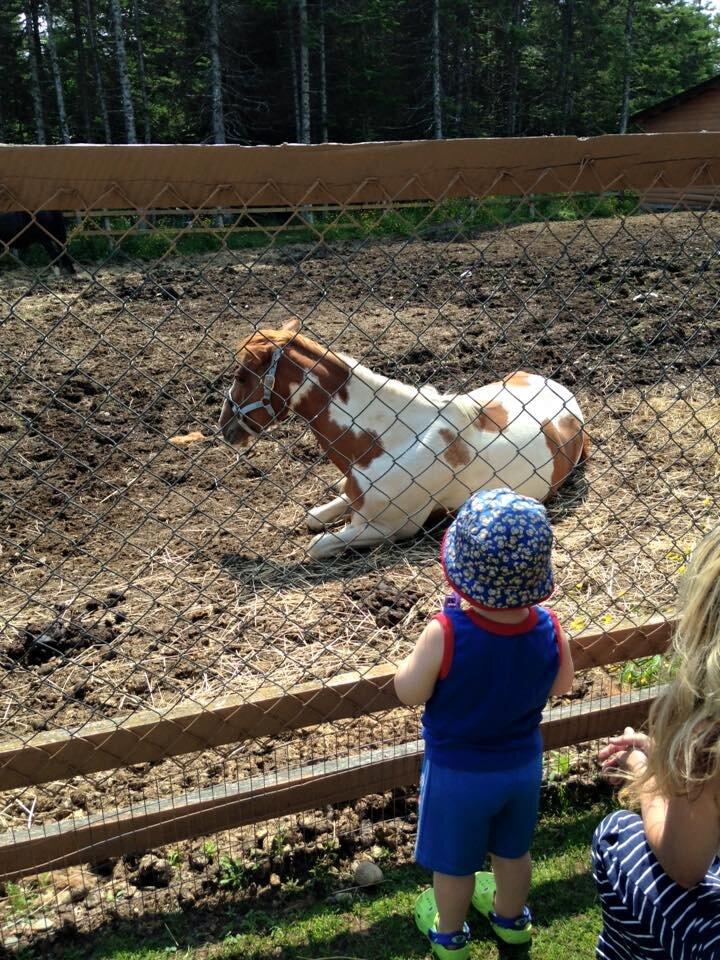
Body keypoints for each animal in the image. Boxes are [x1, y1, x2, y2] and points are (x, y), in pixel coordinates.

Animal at [219, 316, 592, 556]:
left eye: (240, 375)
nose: (225, 427)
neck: (388, 440)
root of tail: (559, 387)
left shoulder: (391, 528)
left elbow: (317, 545)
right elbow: (314, 518)